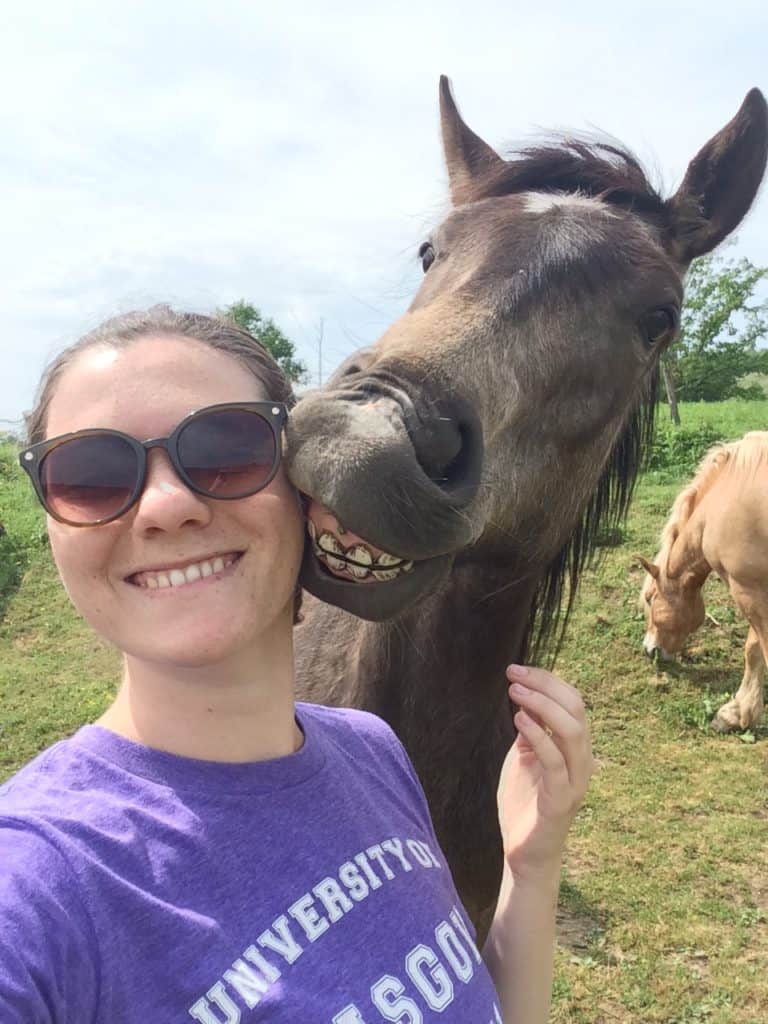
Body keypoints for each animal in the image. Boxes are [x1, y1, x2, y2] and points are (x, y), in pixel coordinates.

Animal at [638, 432, 768, 734]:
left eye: (650, 598)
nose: (649, 650)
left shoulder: (748, 590)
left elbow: (756, 650)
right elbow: (754, 649)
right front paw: (738, 713)